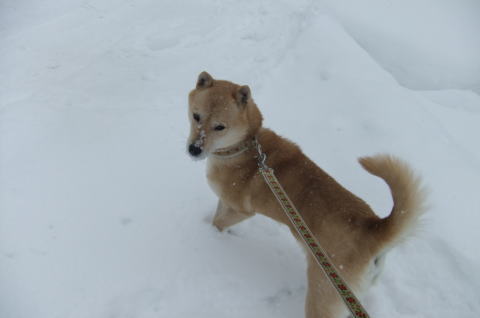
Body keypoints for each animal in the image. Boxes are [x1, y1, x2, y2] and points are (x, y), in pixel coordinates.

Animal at [186, 72, 426, 318]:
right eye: (196, 116)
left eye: (220, 127)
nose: (193, 149)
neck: (244, 146)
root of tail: (373, 227)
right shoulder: (224, 201)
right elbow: (218, 216)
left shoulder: (239, 209)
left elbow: (218, 222)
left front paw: (213, 236)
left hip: (322, 293)